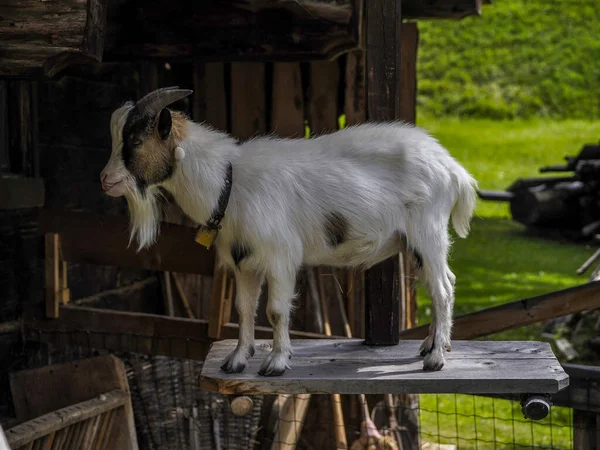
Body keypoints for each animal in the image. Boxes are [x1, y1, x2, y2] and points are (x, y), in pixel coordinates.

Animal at [99, 87, 478, 376]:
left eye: (135, 141)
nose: (105, 180)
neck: (229, 181)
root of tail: (453, 169)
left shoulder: (279, 256)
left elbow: (276, 310)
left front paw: (276, 363)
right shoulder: (244, 262)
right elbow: (244, 310)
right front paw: (237, 360)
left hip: (427, 230)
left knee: (442, 288)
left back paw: (435, 358)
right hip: (413, 242)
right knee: (443, 281)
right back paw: (433, 343)